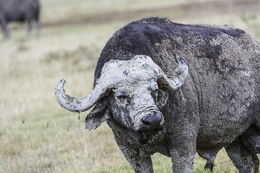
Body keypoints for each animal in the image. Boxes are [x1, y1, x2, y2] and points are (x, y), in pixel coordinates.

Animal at [55, 16, 260, 172]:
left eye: (154, 91)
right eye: (122, 96)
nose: (152, 120)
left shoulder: (183, 145)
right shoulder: (130, 151)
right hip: (236, 140)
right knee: (248, 164)